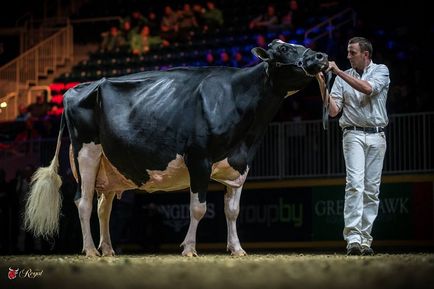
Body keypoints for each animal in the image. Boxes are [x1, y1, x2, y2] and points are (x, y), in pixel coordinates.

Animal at [23, 39, 328, 255]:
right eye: (285, 49)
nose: (321, 57)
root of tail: (75, 89)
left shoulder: (240, 165)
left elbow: (232, 210)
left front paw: (237, 249)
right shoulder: (199, 160)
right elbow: (198, 208)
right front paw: (190, 248)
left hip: (108, 166)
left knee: (103, 207)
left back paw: (107, 250)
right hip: (86, 153)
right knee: (83, 202)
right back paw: (89, 250)